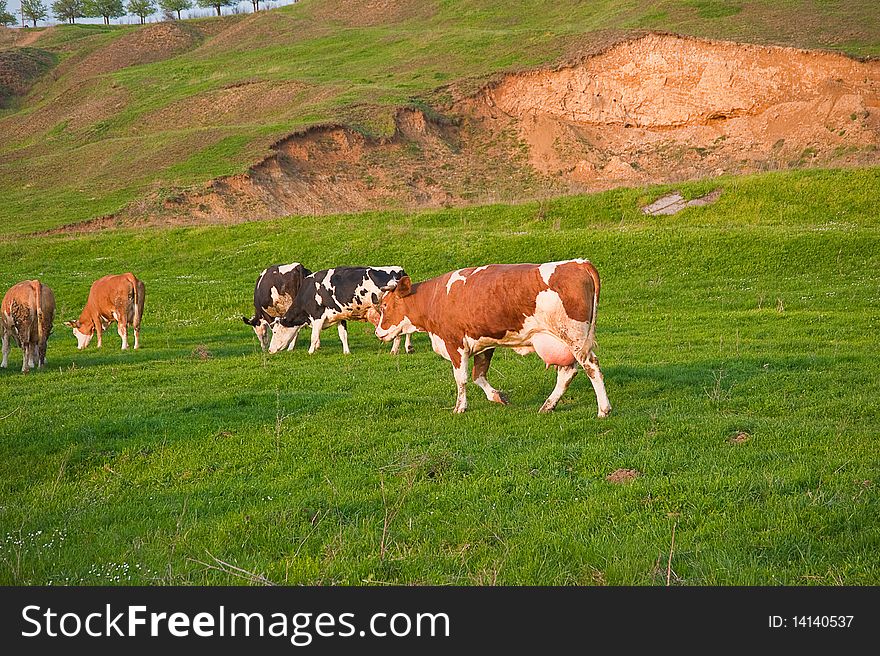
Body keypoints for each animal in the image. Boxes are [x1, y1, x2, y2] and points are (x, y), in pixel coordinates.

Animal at [268, 266, 416, 356]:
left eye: (274, 332)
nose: (269, 350)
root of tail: (399, 270)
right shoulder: (340, 316)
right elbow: (343, 335)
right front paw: (346, 352)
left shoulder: (317, 316)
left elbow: (314, 336)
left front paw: (310, 352)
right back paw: (408, 347)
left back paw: (394, 350)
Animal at [372, 260, 612, 416]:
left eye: (385, 306)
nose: (378, 332)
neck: (434, 298)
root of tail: (578, 263)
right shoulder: (483, 342)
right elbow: (478, 375)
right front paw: (498, 396)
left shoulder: (455, 343)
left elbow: (461, 378)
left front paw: (460, 407)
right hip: (564, 341)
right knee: (567, 372)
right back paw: (548, 406)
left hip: (574, 337)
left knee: (592, 367)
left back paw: (603, 409)